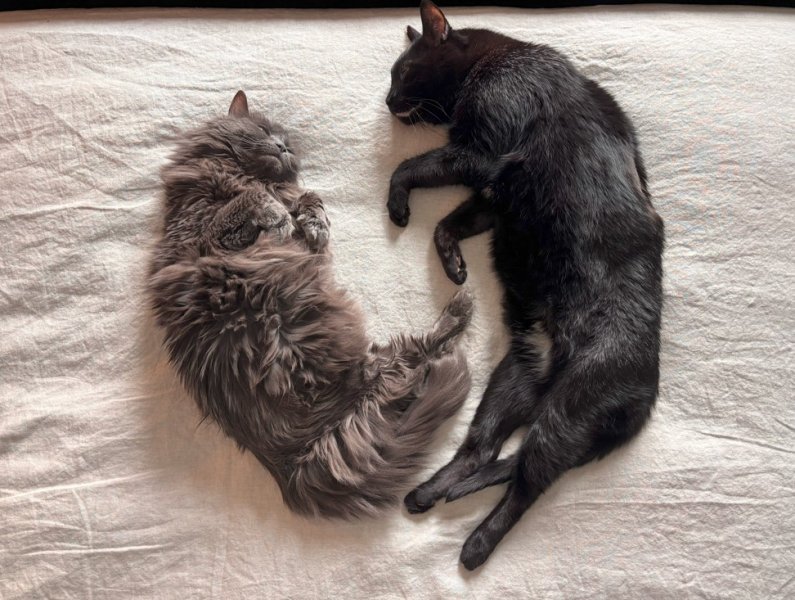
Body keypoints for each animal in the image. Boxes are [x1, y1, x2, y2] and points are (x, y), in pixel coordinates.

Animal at [148, 90, 474, 519]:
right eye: (264, 131)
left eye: (288, 143)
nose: (283, 147)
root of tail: (289, 462)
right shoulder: (204, 233)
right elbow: (251, 202)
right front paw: (277, 213)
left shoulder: (296, 241)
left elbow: (308, 203)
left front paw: (310, 220)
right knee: (408, 358)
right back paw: (459, 312)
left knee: (402, 363)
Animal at [385, 1, 665, 569]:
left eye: (402, 72)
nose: (387, 100)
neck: (492, 64)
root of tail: (644, 393)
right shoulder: (492, 197)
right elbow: (448, 223)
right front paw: (454, 266)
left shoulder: (480, 155)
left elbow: (412, 167)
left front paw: (399, 204)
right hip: (509, 382)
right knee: (484, 450)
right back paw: (429, 492)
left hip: (565, 414)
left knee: (527, 483)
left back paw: (476, 544)